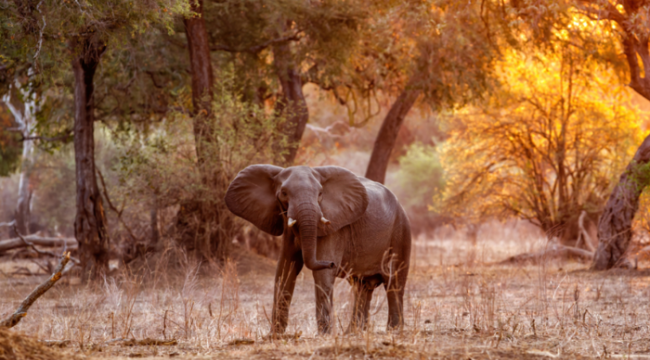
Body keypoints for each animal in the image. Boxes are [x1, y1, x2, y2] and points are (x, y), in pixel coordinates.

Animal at [223, 165, 410, 334]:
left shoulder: (333, 228)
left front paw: (324, 335)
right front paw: (274, 335)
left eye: (320, 194)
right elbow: (284, 270)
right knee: (362, 286)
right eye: (284, 192)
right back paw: (353, 333)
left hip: (401, 232)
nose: (332, 263)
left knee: (394, 282)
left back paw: (393, 331)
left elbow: (322, 275)